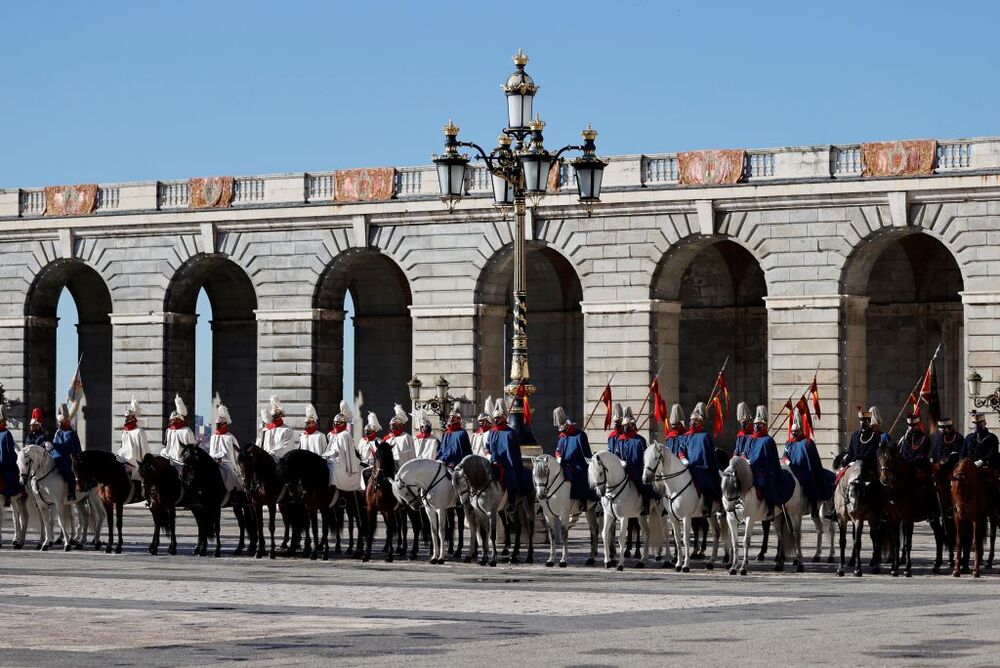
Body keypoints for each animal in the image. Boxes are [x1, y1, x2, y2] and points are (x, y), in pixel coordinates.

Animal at [644, 440, 732, 572]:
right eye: (644, 458)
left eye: (656, 458)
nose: (645, 479)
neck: (675, 485)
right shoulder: (672, 517)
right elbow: (677, 539)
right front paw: (678, 564)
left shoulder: (686, 517)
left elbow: (685, 540)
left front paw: (685, 565)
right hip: (711, 514)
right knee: (717, 533)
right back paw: (711, 562)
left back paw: (730, 563)